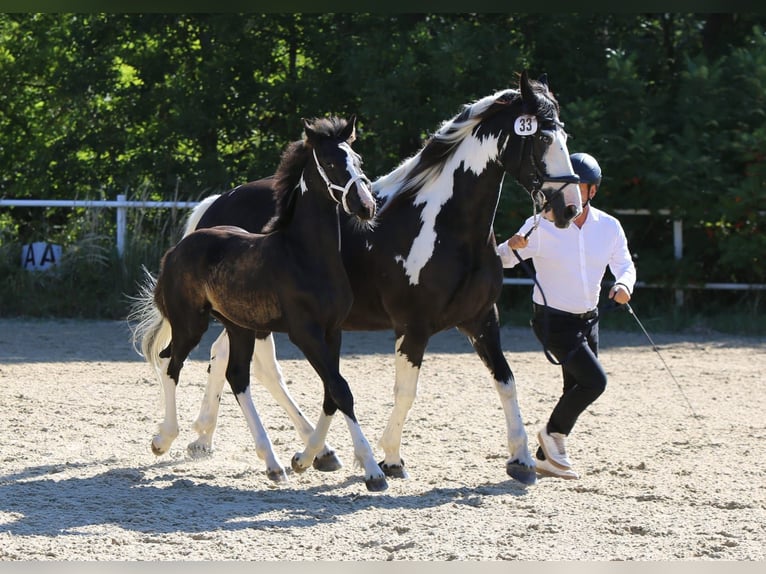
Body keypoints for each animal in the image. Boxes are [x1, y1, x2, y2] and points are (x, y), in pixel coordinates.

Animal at [129, 116, 389, 491]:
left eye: (357, 160)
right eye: (329, 163)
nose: (366, 207)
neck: (304, 256)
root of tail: (177, 248)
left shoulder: (333, 331)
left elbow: (332, 390)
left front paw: (307, 458)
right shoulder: (305, 332)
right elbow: (341, 390)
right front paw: (372, 470)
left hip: (240, 327)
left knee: (237, 375)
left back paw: (272, 463)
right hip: (191, 323)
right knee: (170, 363)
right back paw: (164, 439)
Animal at [183, 71, 581, 486]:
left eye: (564, 135)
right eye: (541, 138)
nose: (568, 207)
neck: (447, 226)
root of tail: (218, 204)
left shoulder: (482, 319)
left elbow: (506, 381)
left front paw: (521, 459)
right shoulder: (413, 325)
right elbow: (402, 391)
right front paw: (389, 458)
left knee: (225, 359)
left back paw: (212, 441)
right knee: (260, 369)